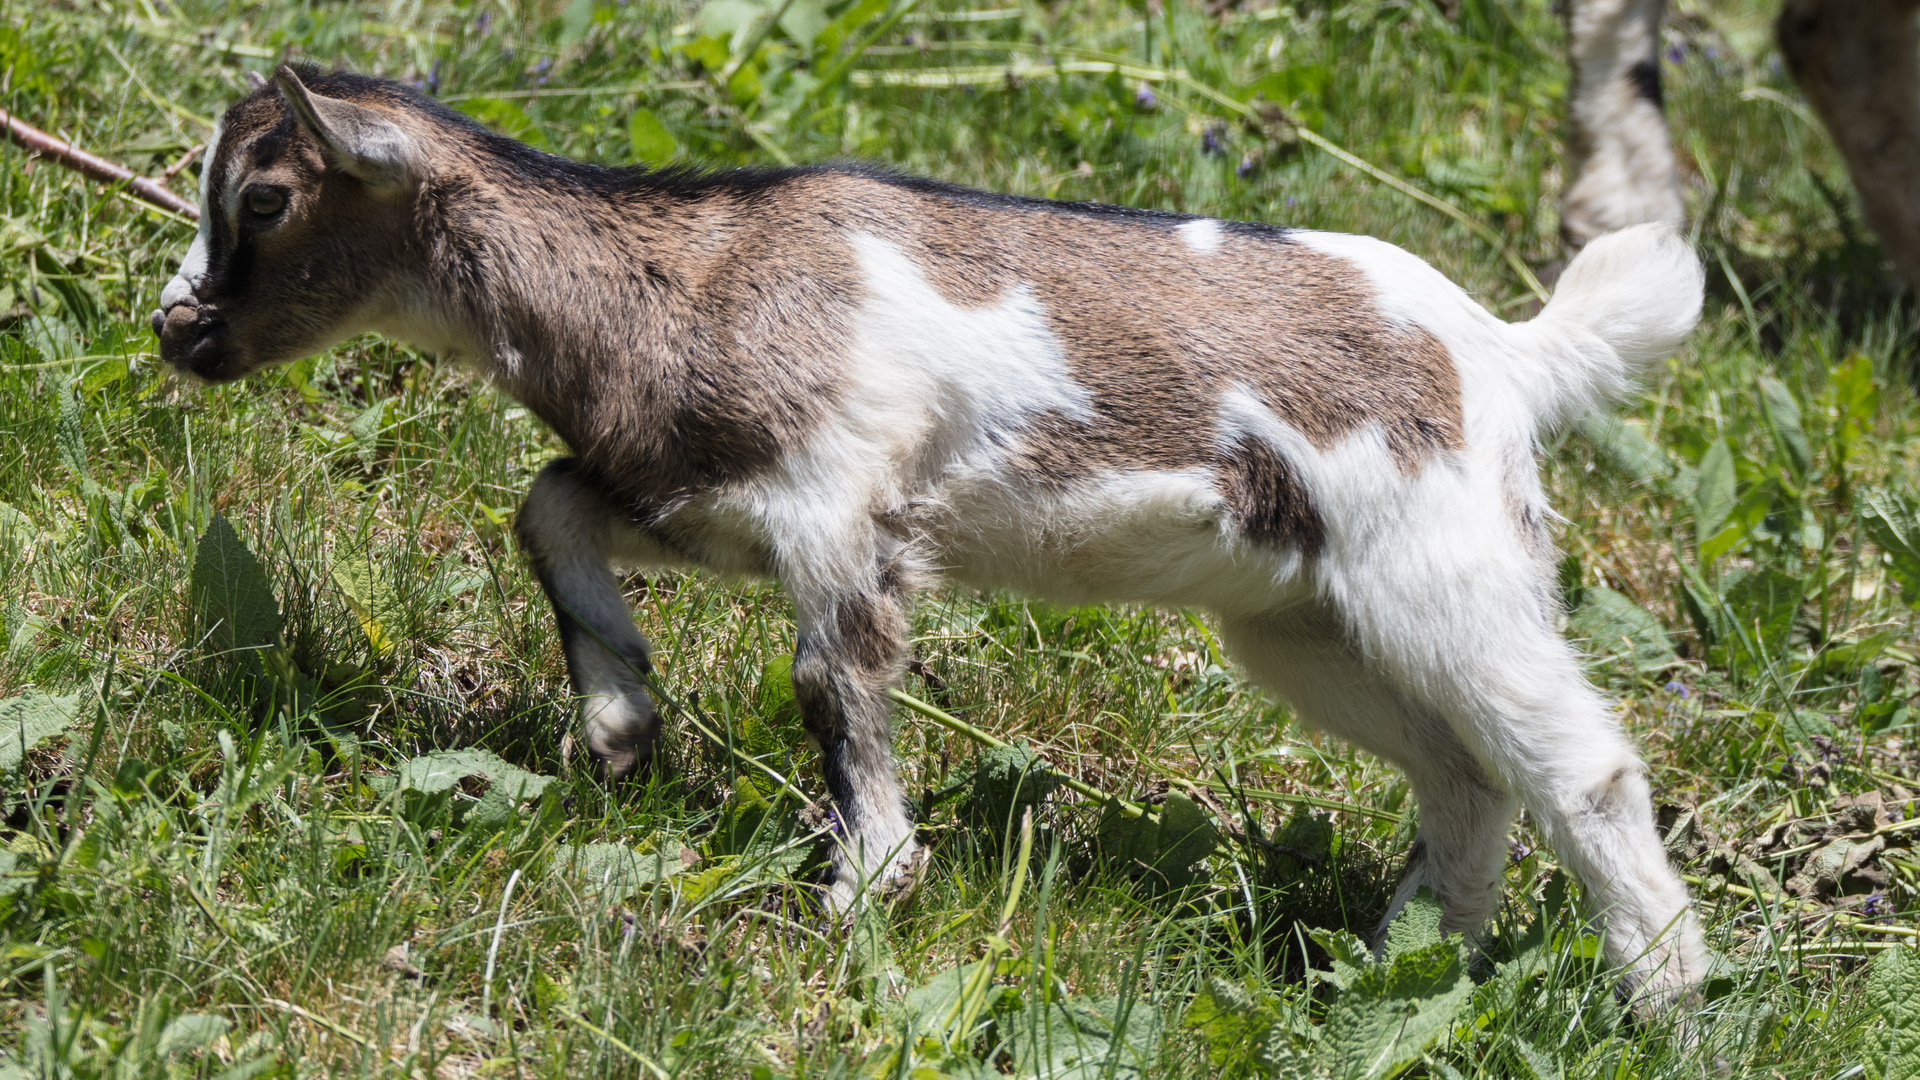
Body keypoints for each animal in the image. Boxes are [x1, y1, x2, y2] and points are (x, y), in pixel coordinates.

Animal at [153, 67, 1712, 999]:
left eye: (265, 198)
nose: (179, 331)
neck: (689, 278)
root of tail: (1504, 352)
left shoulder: (842, 512)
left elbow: (828, 684)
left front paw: (865, 888)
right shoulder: (700, 492)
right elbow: (546, 504)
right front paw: (618, 715)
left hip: (1444, 566)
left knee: (1583, 765)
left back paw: (1666, 996)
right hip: (1302, 621)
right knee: (1467, 773)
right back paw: (1400, 966)